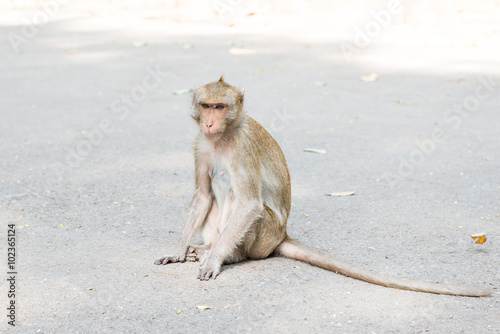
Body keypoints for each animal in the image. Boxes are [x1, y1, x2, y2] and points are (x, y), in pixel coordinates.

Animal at [154, 76, 494, 298]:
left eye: (220, 107)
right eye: (206, 105)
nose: (210, 122)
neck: (221, 137)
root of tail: (282, 235)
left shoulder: (242, 146)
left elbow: (249, 204)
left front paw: (215, 260)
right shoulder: (200, 145)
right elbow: (203, 194)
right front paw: (178, 250)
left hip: (264, 236)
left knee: (242, 200)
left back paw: (226, 254)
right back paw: (206, 246)